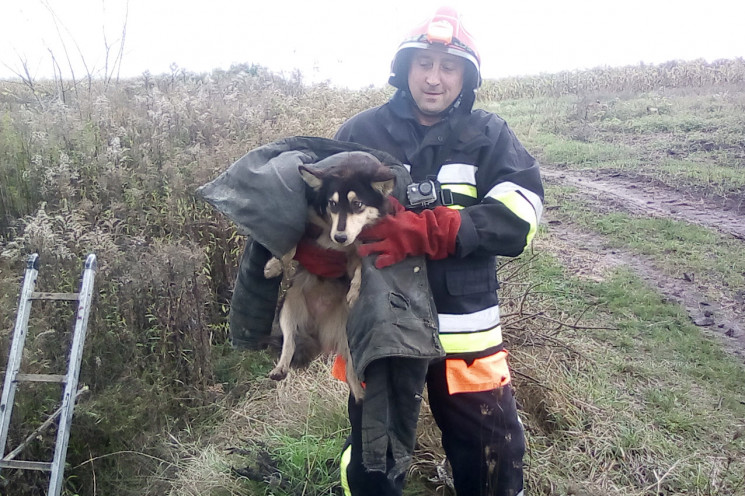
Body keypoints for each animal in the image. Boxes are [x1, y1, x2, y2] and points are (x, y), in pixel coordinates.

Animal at [264, 155, 398, 404]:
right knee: (289, 341)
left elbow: (360, 267)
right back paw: (281, 368)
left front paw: (355, 289)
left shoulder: (358, 249)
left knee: (351, 371)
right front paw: (275, 265)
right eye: (333, 204)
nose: (340, 237)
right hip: (289, 305)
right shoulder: (310, 223)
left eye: (358, 204)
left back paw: (360, 394)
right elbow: (294, 243)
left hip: (350, 337)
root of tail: (320, 330)